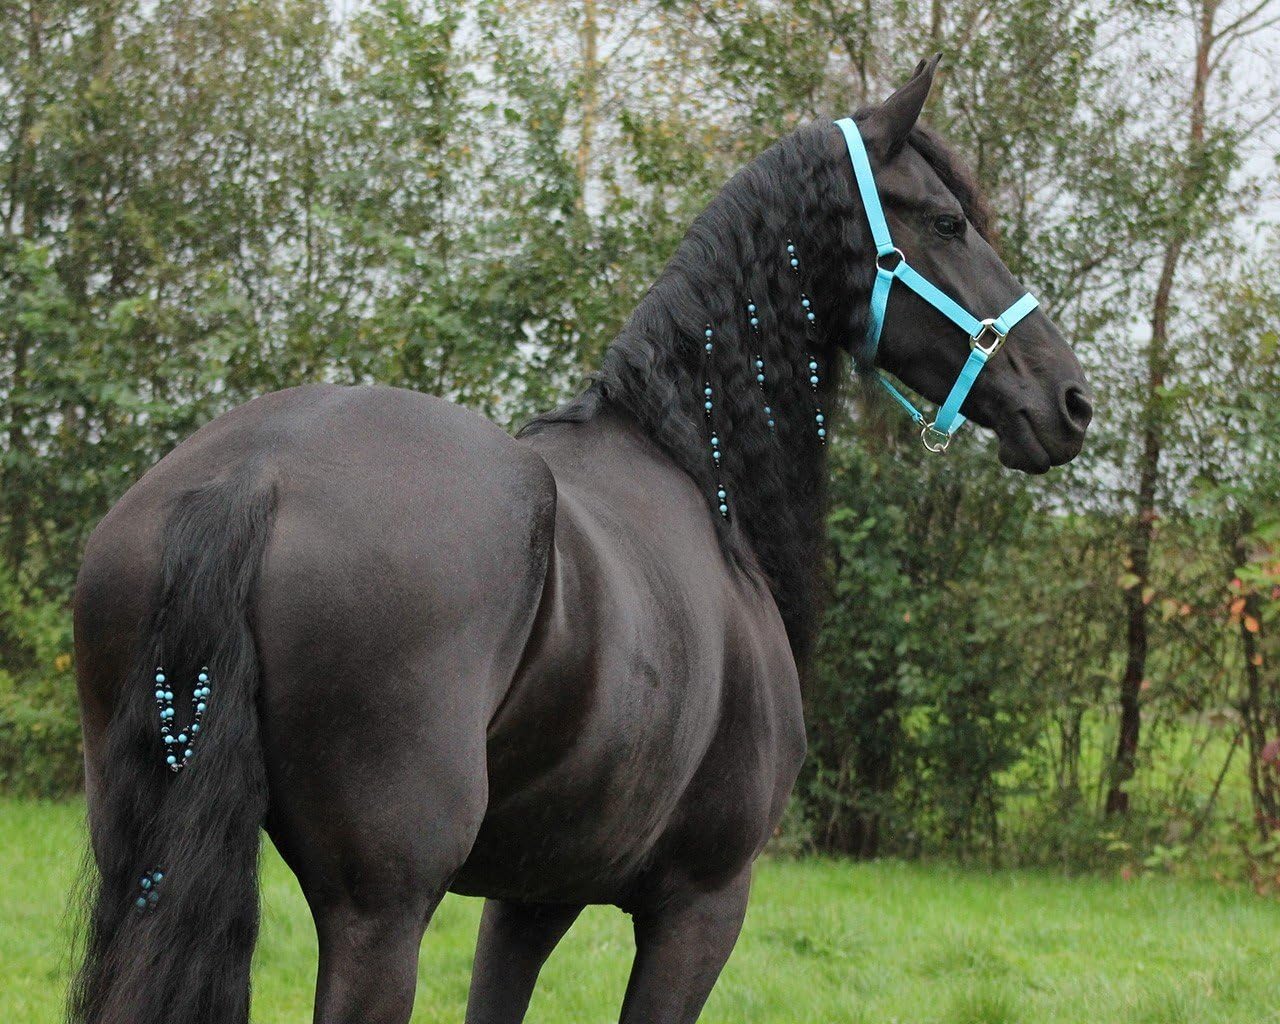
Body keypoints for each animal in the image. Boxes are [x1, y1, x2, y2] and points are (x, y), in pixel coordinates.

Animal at [69, 56, 1091, 1024]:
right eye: (949, 222)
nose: (1071, 399)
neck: (700, 472)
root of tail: (256, 474)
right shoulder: (700, 904)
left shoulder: (532, 896)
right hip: (380, 915)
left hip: (145, 875)